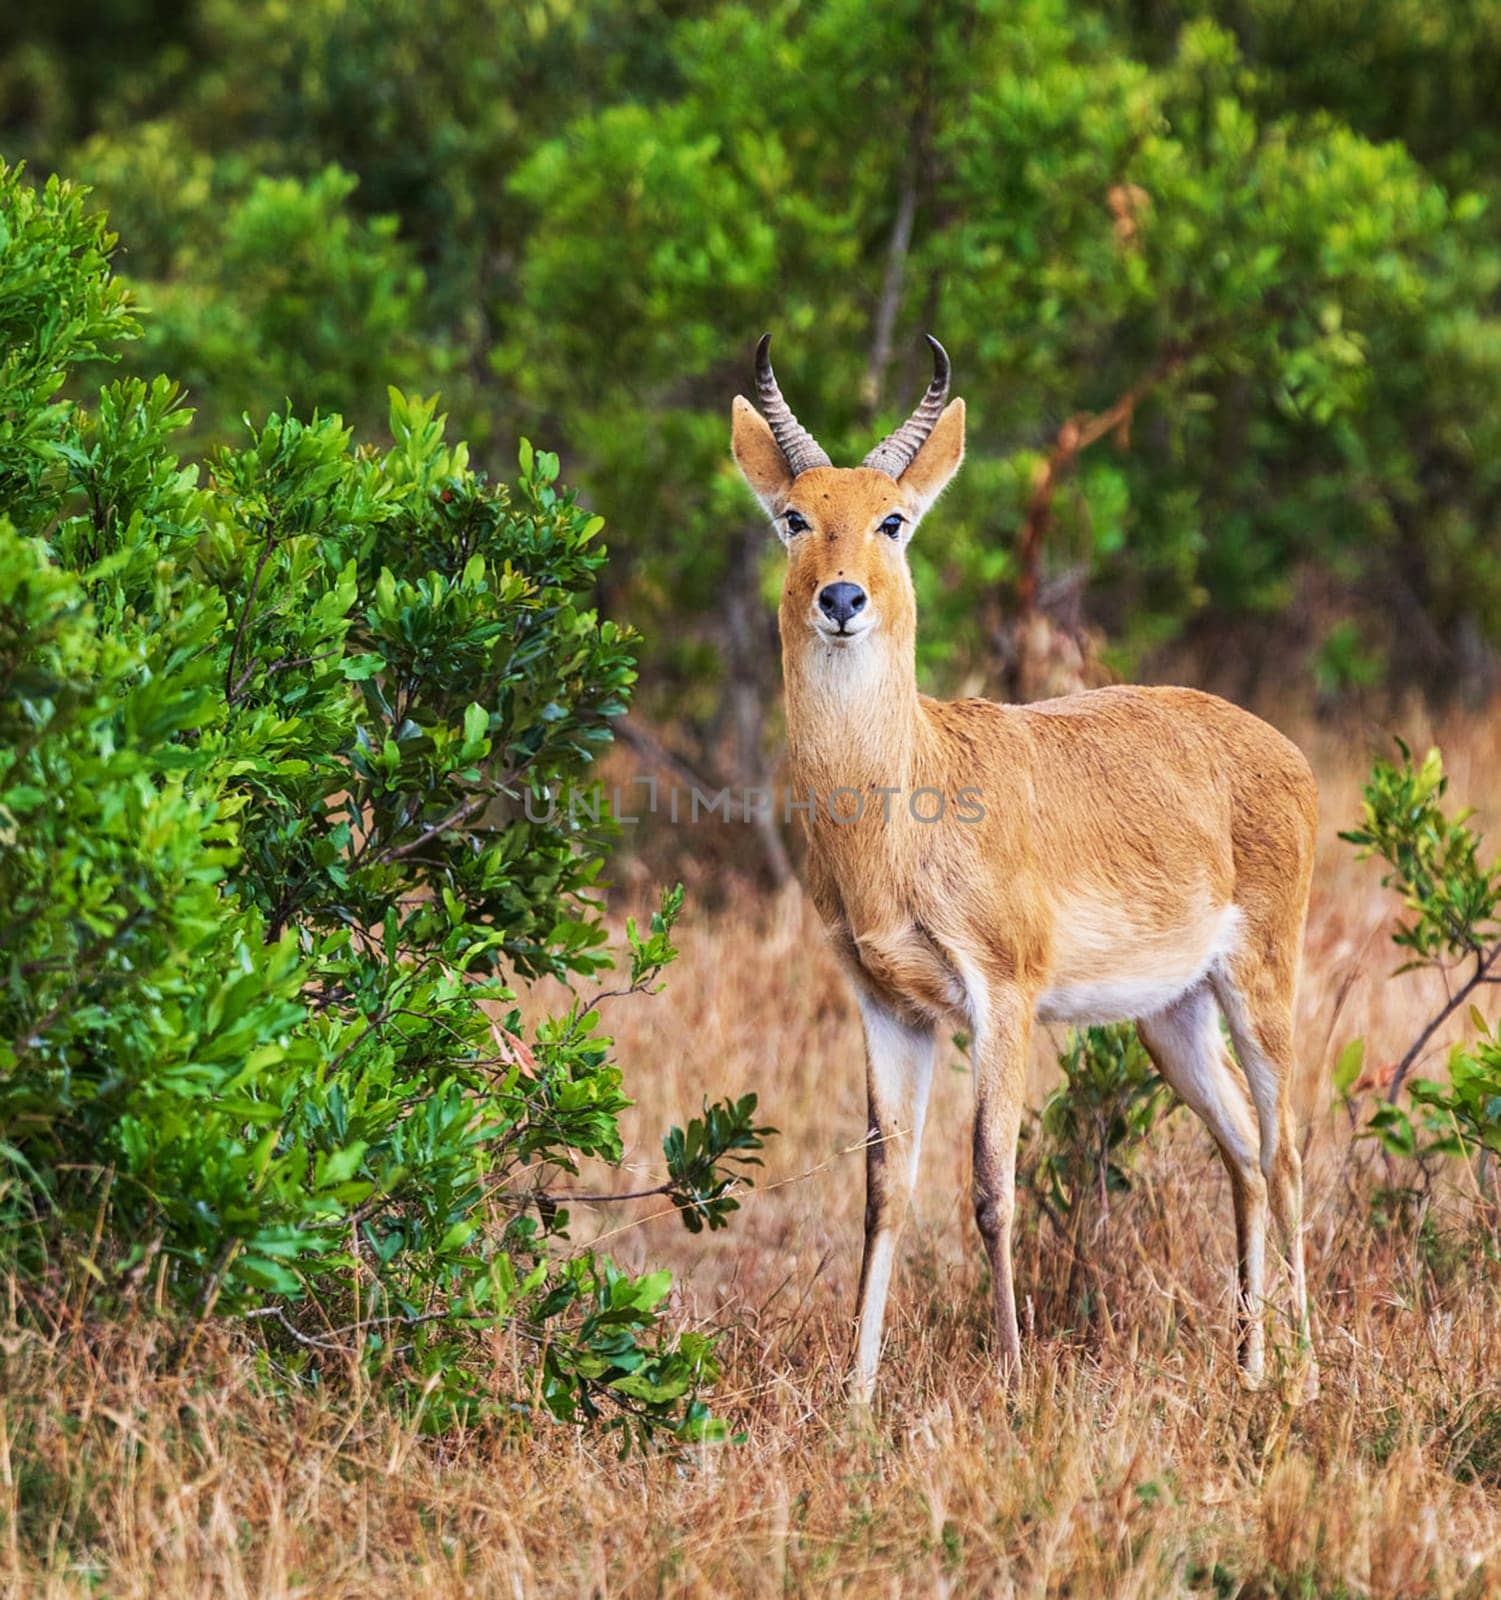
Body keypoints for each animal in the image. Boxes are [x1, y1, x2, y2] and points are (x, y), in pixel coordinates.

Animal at [732, 337, 1318, 1401]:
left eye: (892, 518)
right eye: (795, 516)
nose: (841, 599)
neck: (907, 802)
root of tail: (1280, 748)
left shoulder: (1000, 995)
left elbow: (990, 1186)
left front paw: (1010, 1382)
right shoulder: (887, 1004)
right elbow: (883, 1190)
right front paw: (856, 1398)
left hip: (1262, 984)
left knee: (1286, 1150)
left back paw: (1306, 1378)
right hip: (1170, 1016)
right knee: (1245, 1156)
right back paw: (1249, 1370)